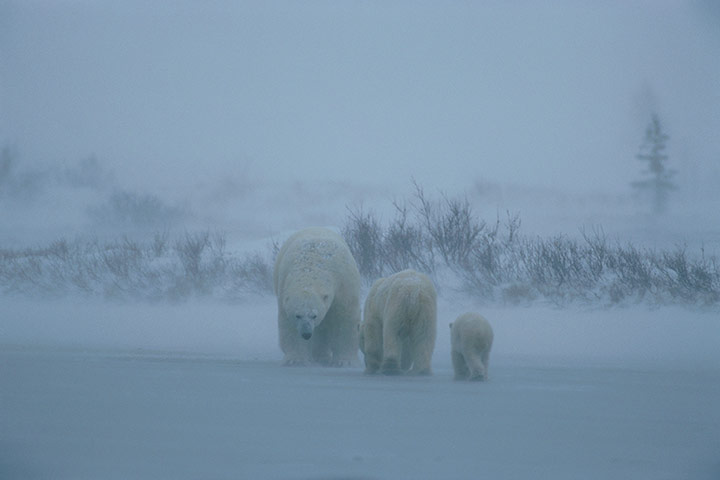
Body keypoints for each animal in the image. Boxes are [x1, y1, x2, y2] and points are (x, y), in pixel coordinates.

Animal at [274, 227, 361, 366]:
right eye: (297, 315)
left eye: (314, 315)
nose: (306, 334)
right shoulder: (283, 289)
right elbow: (288, 325)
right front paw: (295, 359)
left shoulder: (343, 285)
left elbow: (345, 319)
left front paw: (344, 361)